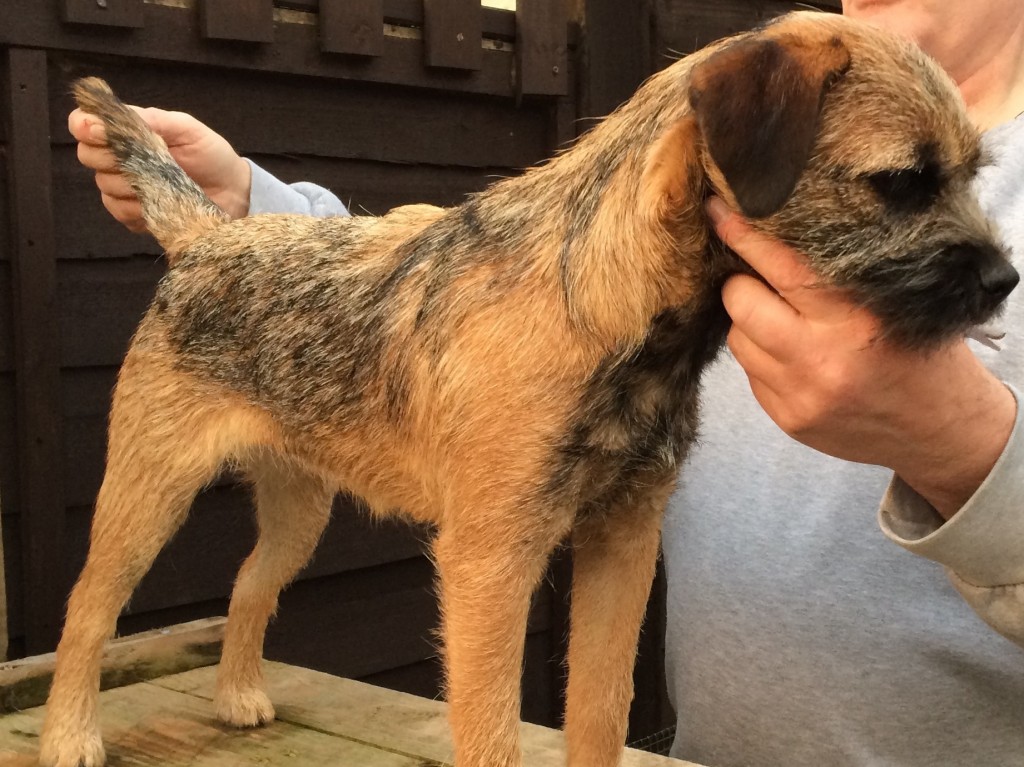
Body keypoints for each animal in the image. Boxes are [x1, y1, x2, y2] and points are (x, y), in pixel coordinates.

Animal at [40, 10, 1017, 767]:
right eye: (901, 182)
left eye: (970, 175)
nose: (1004, 280)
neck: (613, 306)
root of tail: (207, 237)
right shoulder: (490, 562)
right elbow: (492, 731)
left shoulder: (623, 544)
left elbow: (599, 709)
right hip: (147, 488)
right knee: (87, 610)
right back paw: (68, 734)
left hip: (300, 503)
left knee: (250, 582)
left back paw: (238, 690)